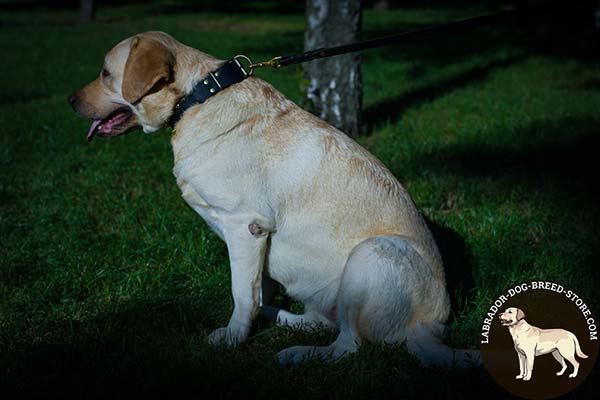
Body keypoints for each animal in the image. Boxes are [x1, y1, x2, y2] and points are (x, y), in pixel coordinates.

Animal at [68, 31, 478, 366]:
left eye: (105, 73)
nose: (70, 100)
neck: (197, 99)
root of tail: (431, 328)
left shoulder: (246, 226)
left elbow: (242, 293)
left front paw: (233, 338)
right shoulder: (256, 240)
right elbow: (256, 289)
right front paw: (255, 319)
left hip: (372, 254)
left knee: (350, 346)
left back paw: (298, 355)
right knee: (318, 322)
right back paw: (279, 319)